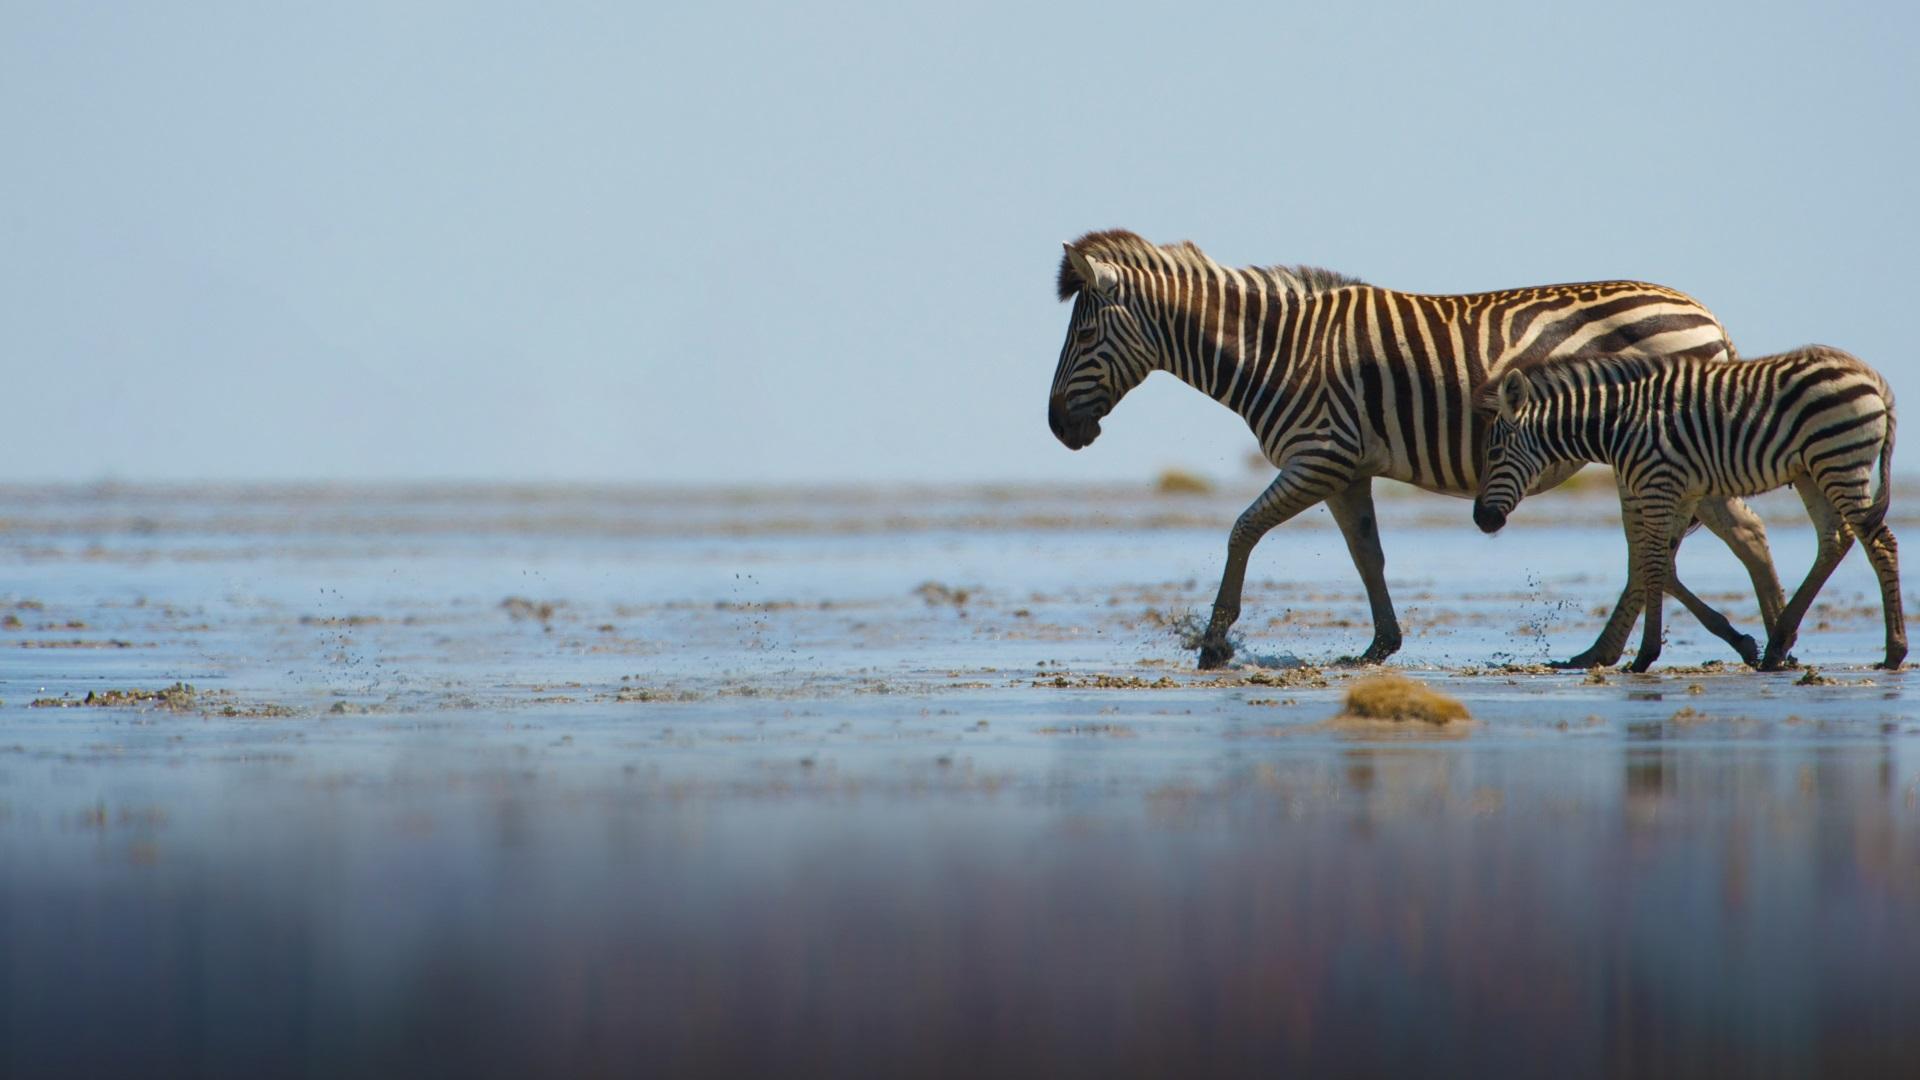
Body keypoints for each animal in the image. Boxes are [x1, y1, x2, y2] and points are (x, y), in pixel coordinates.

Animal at [1046, 229, 1787, 669]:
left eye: (1081, 339)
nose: (1057, 428)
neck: (1276, 352)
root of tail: (1705, 314)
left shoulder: (1318, 455)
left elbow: (1242, 531)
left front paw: (1213, 644)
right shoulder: (1345, 469)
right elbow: (1366, 554)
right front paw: (1379, 646)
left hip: (1664, 449)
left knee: (1691, 539)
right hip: (1676, 456)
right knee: (1718, 534)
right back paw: (1746, 641)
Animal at [1471, 345, 1903, 672]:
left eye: (1494, 453)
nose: (1481, 519)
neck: (1616, 424)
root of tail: (1875, 381)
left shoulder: (1659, 487)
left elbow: (1653, 564)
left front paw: (1645, 657)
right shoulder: (1679, 491)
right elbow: (1659, 564)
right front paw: (1741, 641)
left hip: (1838, 460)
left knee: (1880, 543)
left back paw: (1893, 651)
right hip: (1813, 469)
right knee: (1836, 539)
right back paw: (1777, 646)